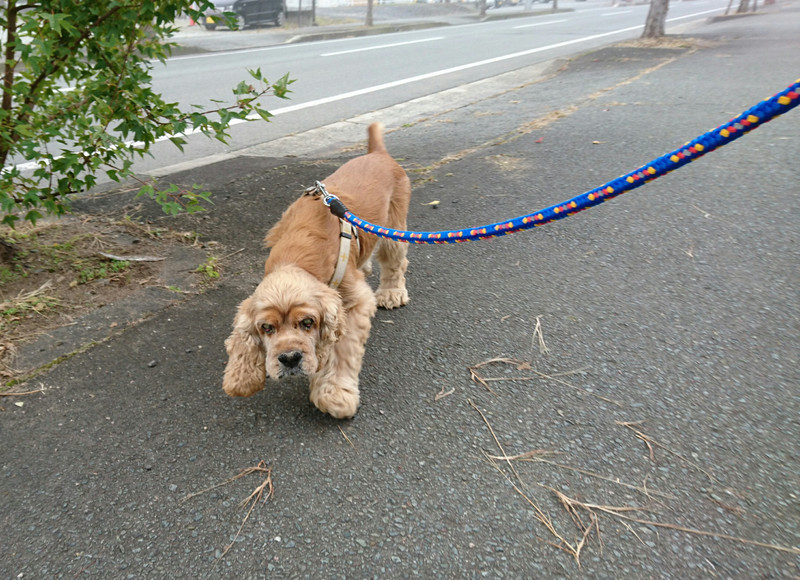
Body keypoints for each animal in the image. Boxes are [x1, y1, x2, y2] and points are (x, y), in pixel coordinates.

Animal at [222, 123, 411, 419]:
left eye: (308, 322)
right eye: (266, 328)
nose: (289, 358)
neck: (295, 258)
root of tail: (377, 153)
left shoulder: (353, 304)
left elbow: (341, 351)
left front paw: (334, 394)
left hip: (393, 226)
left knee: (394, 260)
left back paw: (392, 293)